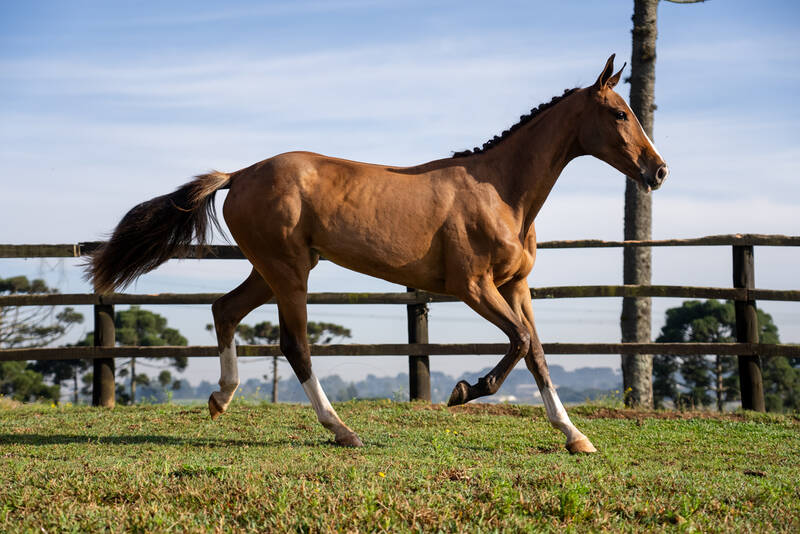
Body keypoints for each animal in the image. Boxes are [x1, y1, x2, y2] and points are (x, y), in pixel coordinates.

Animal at [87, 56, 664, 454]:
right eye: (618, 113)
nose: (658, 171)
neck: (502, 192)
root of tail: (240, 174)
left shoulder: (516, 286)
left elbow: (539, 353)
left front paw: (574, 436)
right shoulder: (473, 287)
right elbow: (521, 342)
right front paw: (464, 391)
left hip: (273, 269)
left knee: (225, 310)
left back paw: (221, 399)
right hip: (288, 272)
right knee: (295, 346)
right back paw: (341, 430)